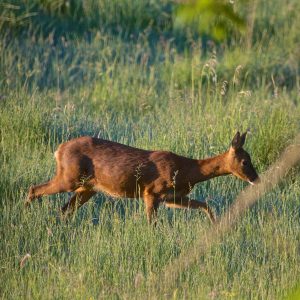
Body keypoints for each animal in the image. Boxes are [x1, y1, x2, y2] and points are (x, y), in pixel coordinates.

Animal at [27, 131, 258, 223]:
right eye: (245, 161)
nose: (256, 178)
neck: (186, 169)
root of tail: (59, 150)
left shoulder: (172, 197)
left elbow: (205, 205)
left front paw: (215, 223)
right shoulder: (152, 192)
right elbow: (151, 223)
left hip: (87, 188)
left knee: (65, 209)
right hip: (69, 177)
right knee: (34, 189)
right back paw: (26, 213)